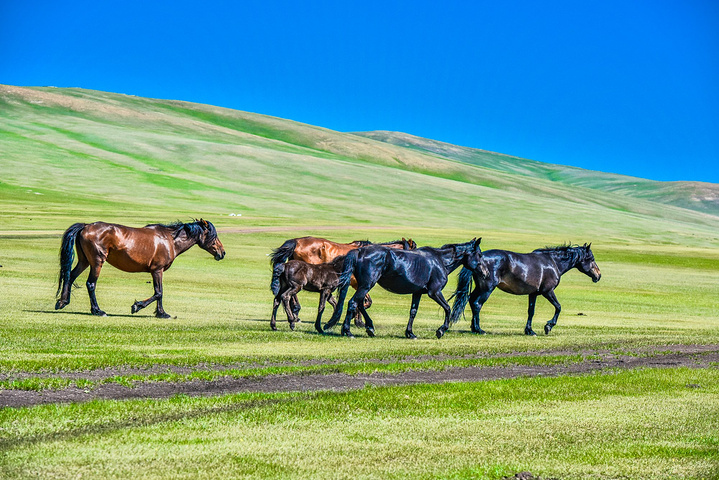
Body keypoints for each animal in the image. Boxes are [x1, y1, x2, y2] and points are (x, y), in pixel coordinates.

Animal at [55, 220, 225, 318]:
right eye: (213, 235)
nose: (222, 253)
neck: (170, 240)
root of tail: (86, 226)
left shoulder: (157, 271)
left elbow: (159, 292)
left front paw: (161, 313)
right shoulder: (157, 270)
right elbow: (158, 292)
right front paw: (138, 306)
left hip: (85, 261)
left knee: (70, 276)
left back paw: (62, 301)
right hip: (97, 262)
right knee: (90, 284)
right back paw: (98, 311)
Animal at [324, 238, 484, 340]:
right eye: (479, 254)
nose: (484, 272)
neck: (439, 261)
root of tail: (359, 251)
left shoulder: (418, 293)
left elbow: (413, 312)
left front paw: (410, 333)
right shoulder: (434, 292)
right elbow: (448, 308)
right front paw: (441, 330)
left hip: (364, 286)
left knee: (360, 304)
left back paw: (369, 328)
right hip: (366, 286)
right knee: (353, 303)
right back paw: (348, 331)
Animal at [450, 242, 600, 336]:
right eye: (591, 258)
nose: (598, 275)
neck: (553, 263)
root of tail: (479, 260)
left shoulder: (533, 294)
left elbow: (531, 312)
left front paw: (529, 331)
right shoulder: (547, 292)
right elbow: (558, 307)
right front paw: (548, 326)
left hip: (480, 288)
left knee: (471, 301)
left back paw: (473, 328)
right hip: (487, 289)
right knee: (477, 304)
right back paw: (479, 329)